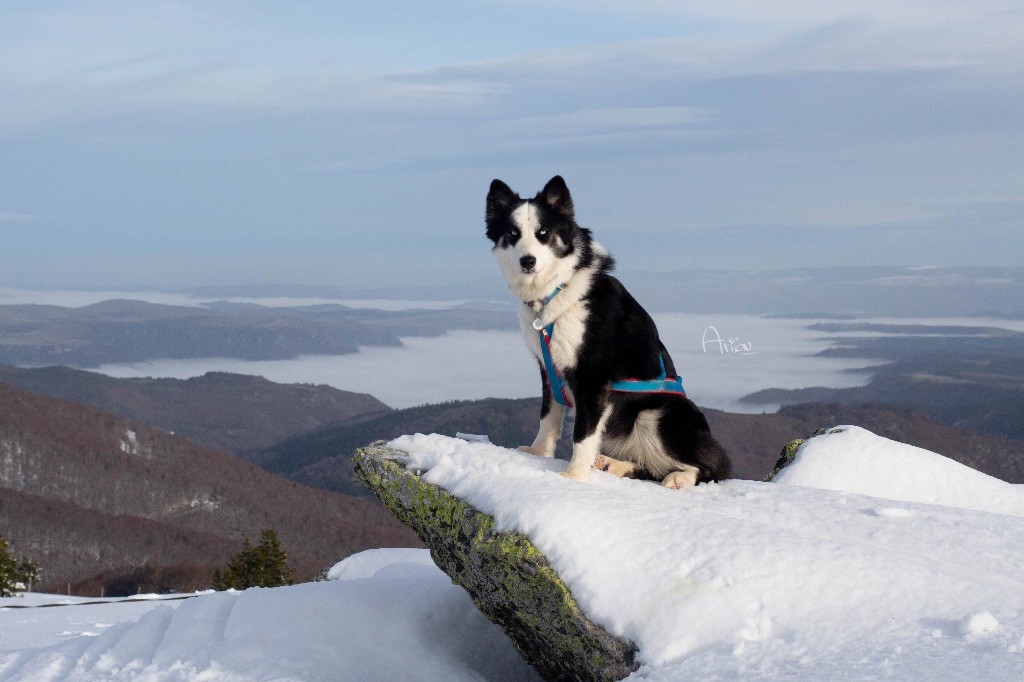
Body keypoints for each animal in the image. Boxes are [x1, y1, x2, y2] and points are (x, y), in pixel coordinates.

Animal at [485, 174, 733, 483]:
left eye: (543, 232)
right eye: (513, 233)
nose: (527, 261)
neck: (558, 289)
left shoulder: (592, 378)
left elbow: (582, 434)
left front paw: (574, 476)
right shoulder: (549, 368)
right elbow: (548, 415)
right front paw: (538, 452)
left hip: (657, 414)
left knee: (712, 466)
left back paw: (680, 478)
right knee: (645, 466)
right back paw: (613, 465)